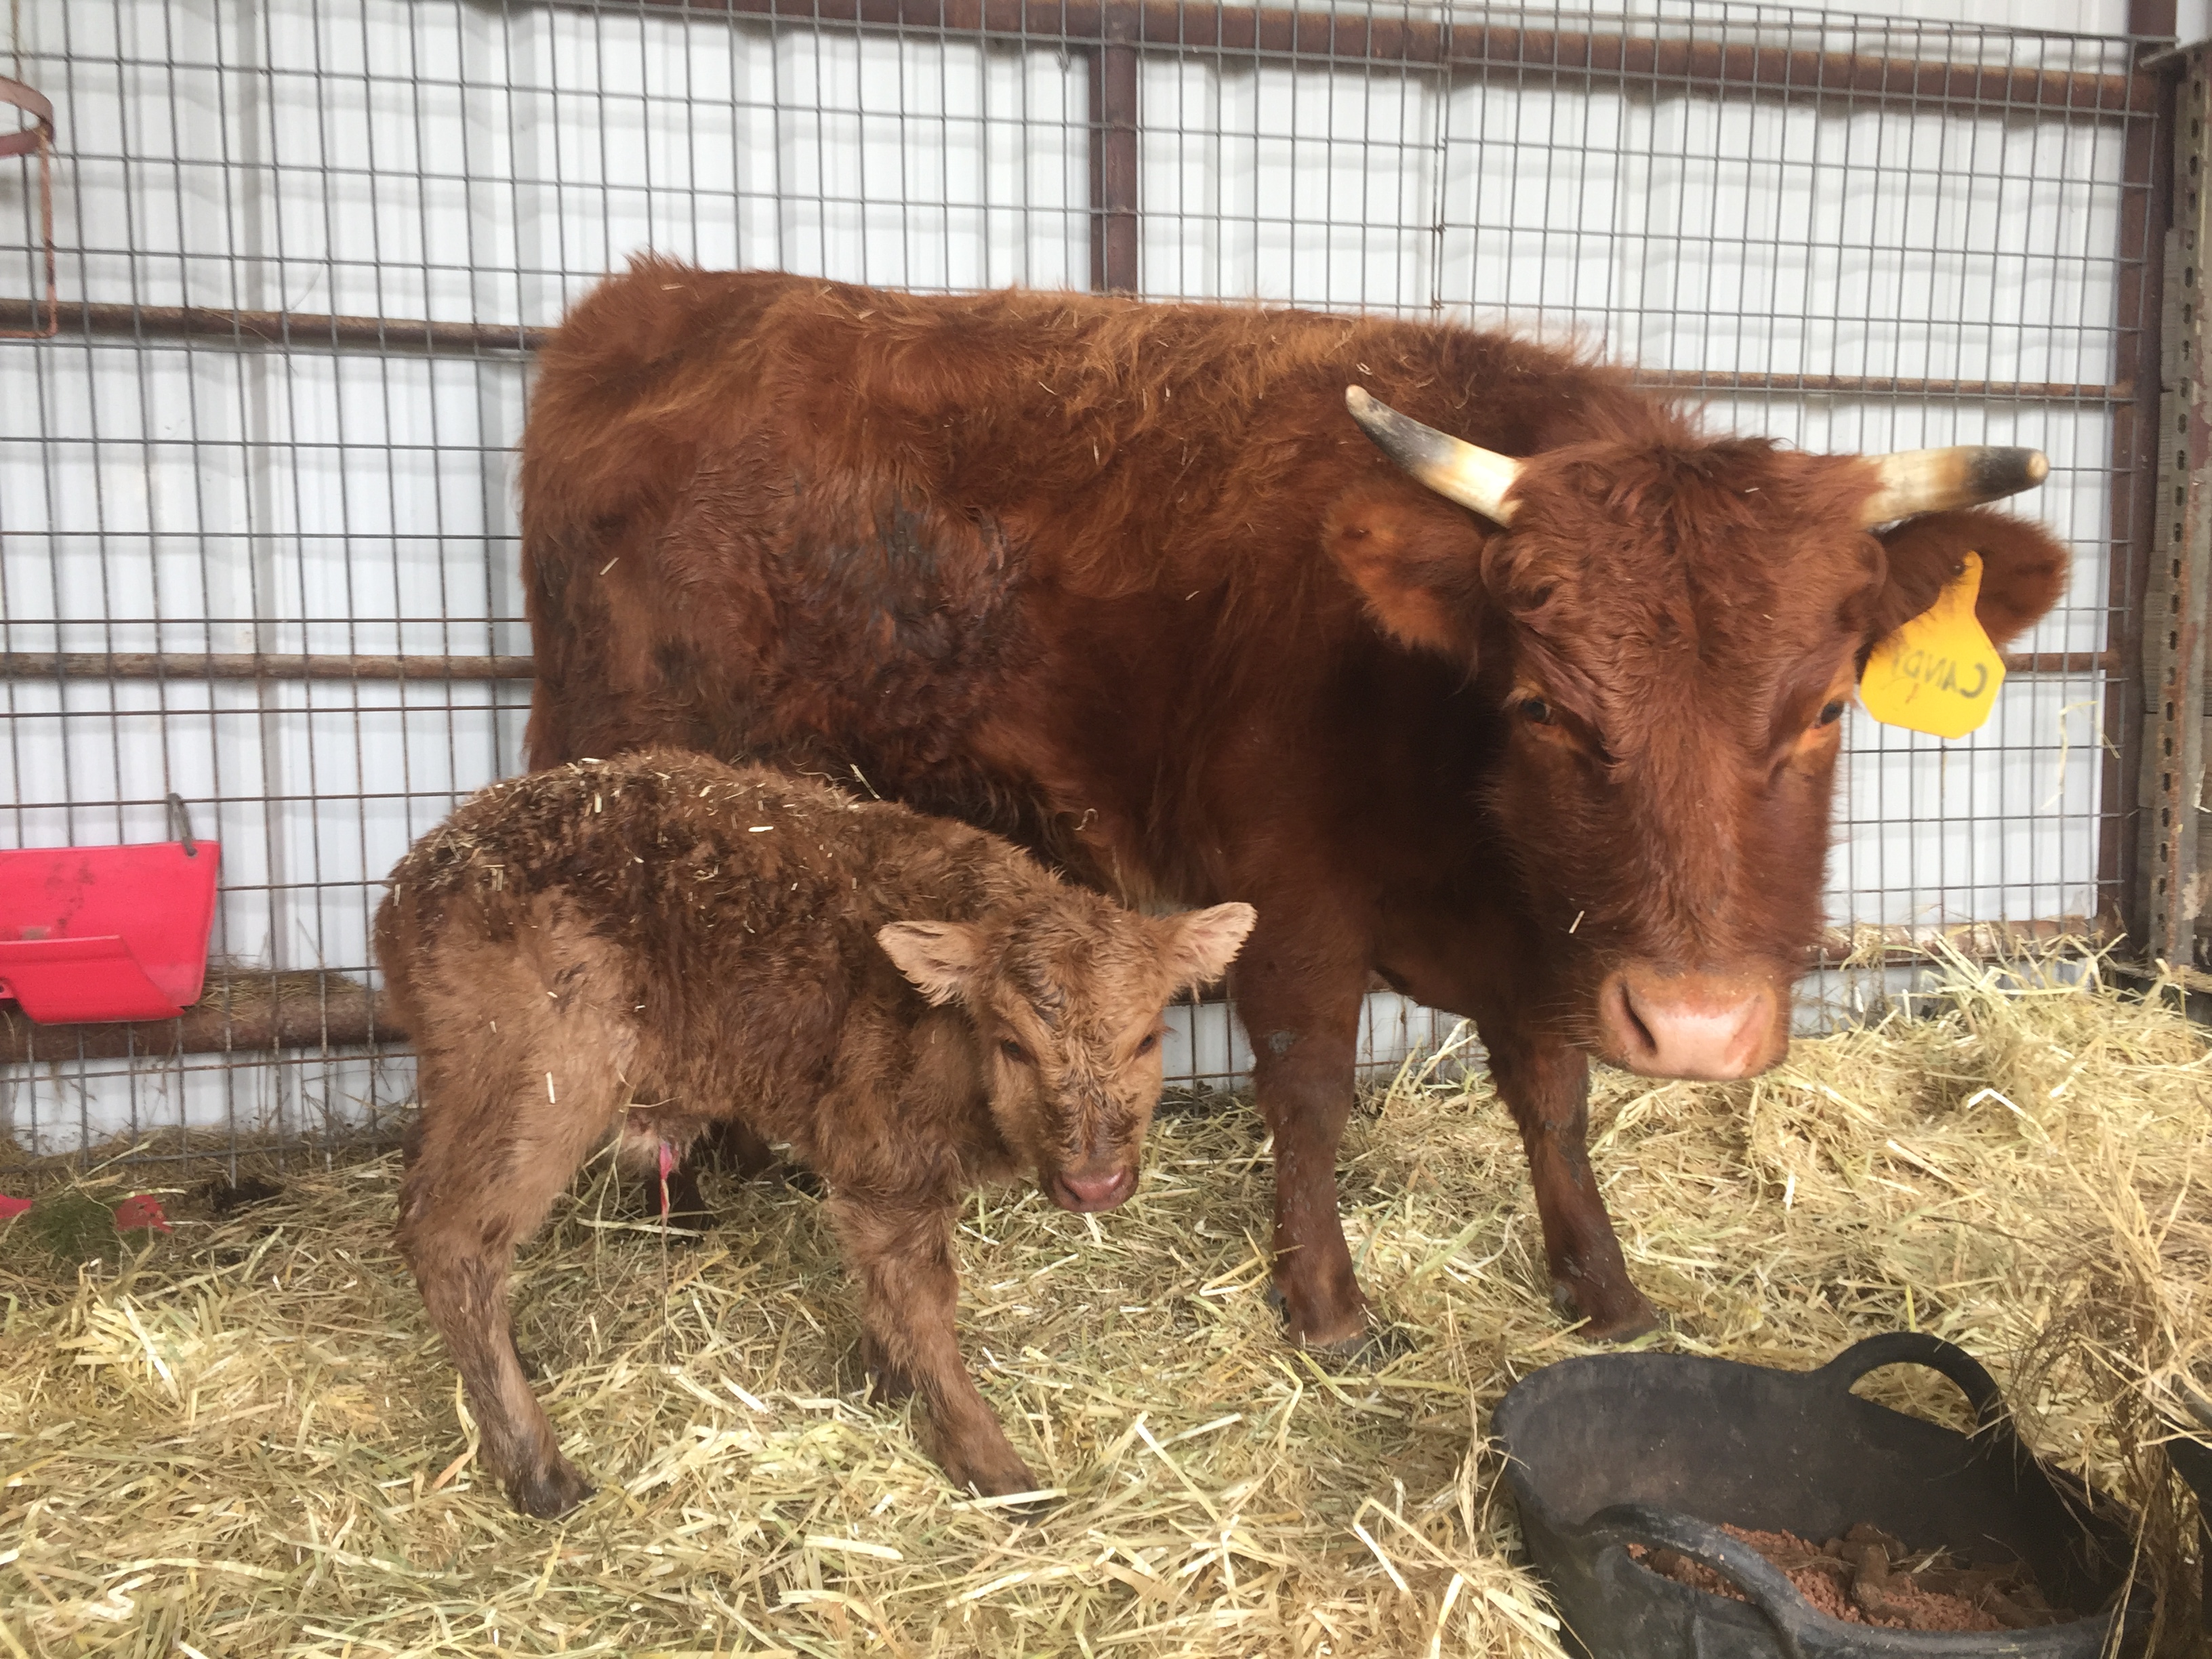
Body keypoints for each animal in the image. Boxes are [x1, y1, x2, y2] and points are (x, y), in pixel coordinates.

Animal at [379, 751, 1254, 1516]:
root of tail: (410, 882)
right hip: (536, 1089)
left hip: (464, 1090)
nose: (1094, 1182)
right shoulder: (884, 1171)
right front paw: (993, 1465)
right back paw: (540, 1472)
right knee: (452, 1238)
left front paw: (885, 1380)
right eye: (1012, 1044)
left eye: (1147, 1039)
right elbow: (923, 1301)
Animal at [517, 260, 2067, 1348]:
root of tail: (666, 295)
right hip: (645, 774)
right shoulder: (1290, 896)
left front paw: (1603, 1283)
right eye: (1544, 705)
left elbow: (1552, 1098)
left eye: (1823, 709)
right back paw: (680, 1206)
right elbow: (1311, 1084)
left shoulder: (1542, 945)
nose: (1696, 1028)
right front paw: (1325, 1302)